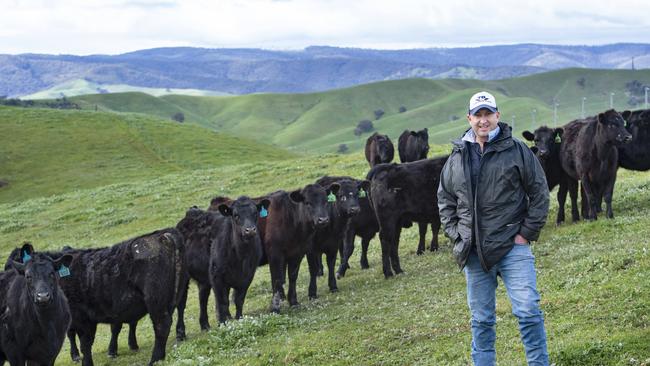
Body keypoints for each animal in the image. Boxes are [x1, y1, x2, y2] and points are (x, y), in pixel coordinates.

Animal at [48, 227, 185, 364]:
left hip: (155, 300)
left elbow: (85, 344)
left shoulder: (80, 317)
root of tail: (163, 235)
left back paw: (154, 360)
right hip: (173, 297)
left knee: (161, 325)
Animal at [260, 184, 330, 314]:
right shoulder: (275, 253)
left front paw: (293, 301)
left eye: (326, 201)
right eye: (307, 202)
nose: (323, 220)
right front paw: (275, 308)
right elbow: (277, 279)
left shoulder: (297, 252)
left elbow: (292, 276)